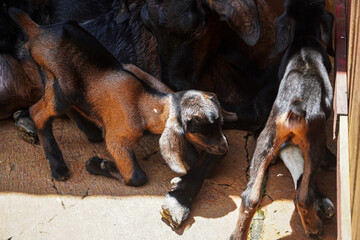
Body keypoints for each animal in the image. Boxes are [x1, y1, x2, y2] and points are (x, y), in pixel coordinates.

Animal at [10, 8, 233, 186]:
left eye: (219, 124)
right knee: (38, 113)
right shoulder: (118, 139)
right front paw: (97, 165)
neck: (146, 102)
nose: (224, 147)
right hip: (61, 90)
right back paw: (58, 167)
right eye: (199, 128)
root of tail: (38, 30)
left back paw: (90, 131)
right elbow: (136, 177)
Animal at [231, 0, 334, 238]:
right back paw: (314, 227)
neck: (305, 39)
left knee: (250, 197)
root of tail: (297, 104)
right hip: (314, 144)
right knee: (303, 197)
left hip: (266, 140)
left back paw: (237, 234)